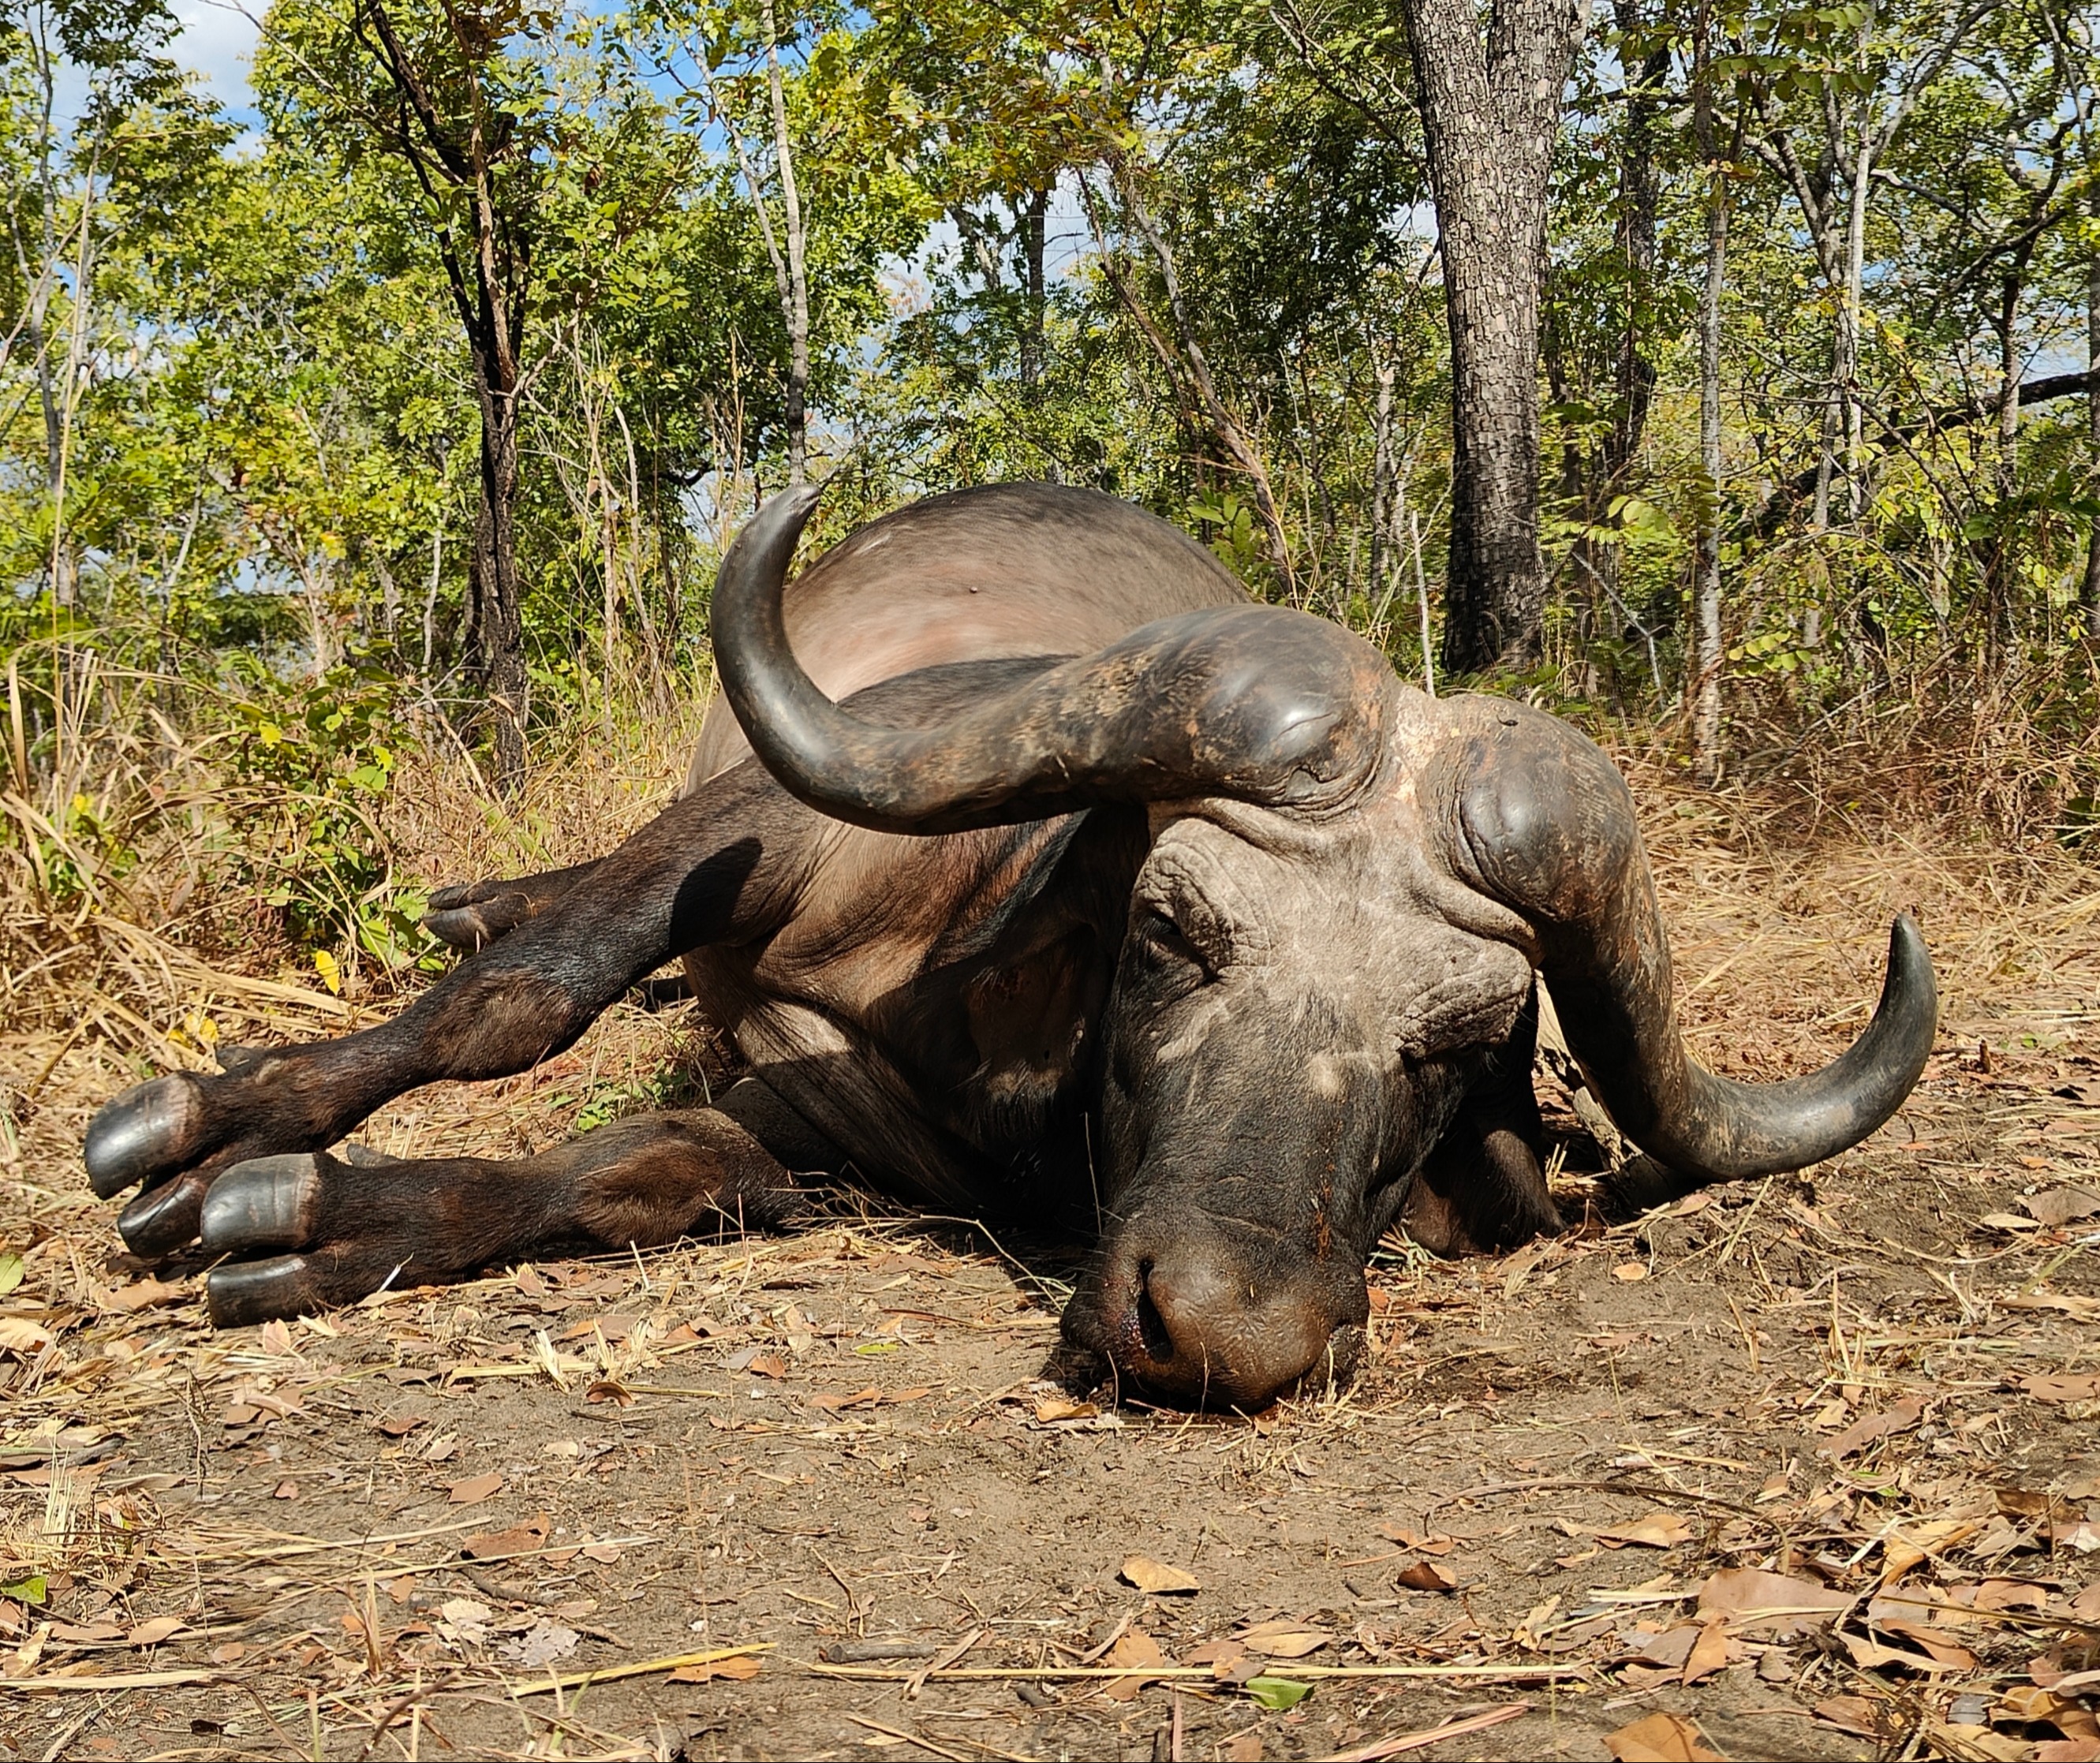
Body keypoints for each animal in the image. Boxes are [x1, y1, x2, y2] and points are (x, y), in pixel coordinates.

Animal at [84, 483, 1937, 1409]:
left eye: (1453, 1039)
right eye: (1172, 928)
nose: (1225, 1329)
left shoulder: (805, 1130)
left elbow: (646, 1169)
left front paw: (317, 1216)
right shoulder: (745, 836)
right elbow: (515, 1009)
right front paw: (211, 1128)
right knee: (535, 933)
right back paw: (462, 905)